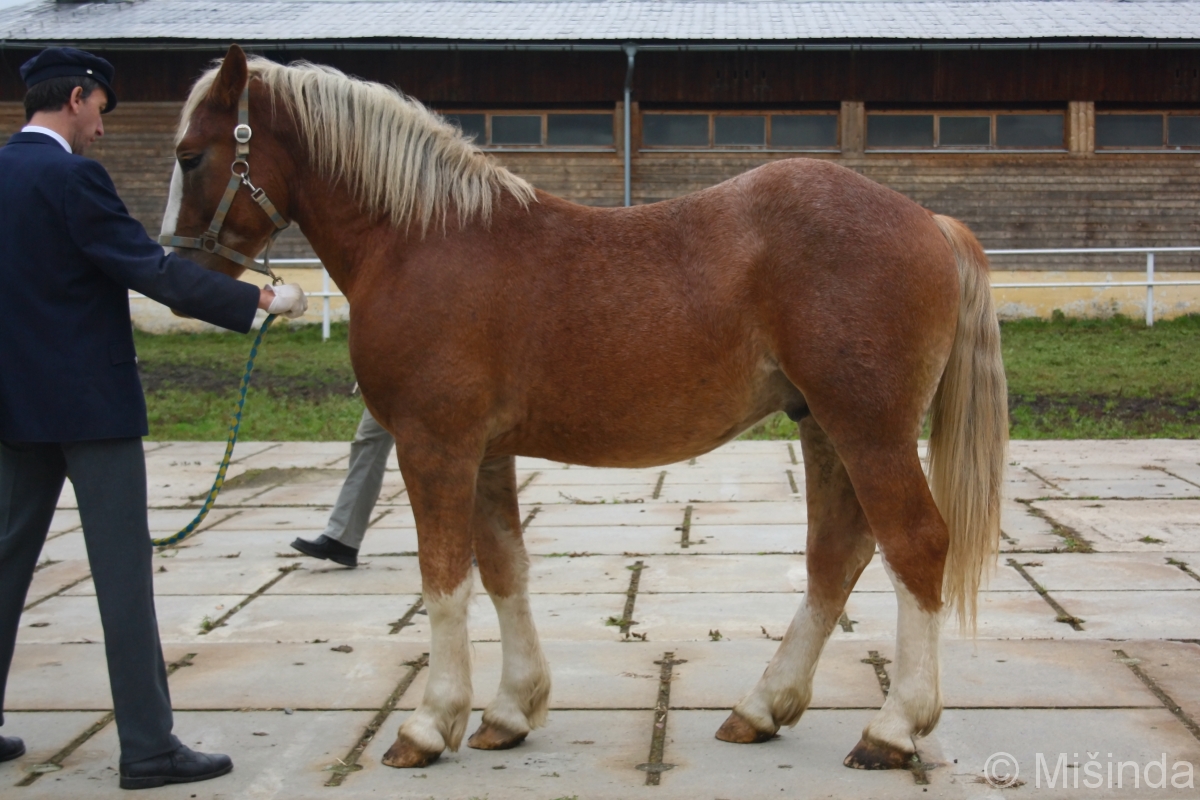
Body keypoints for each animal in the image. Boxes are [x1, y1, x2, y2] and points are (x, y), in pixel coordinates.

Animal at [164, 47, 1008, 772]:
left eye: (191, 155)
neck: (421, 239)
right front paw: (509, 711)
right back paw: (762, 708)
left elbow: (444, 578)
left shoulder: (434, 445)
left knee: (915, 544)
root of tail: (929, 222)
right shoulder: (484, 449)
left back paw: (893, 728)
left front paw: (429, 724)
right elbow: (504, 568)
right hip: (824, 427)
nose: (178, 268)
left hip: (869, 431)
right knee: (837, 555)